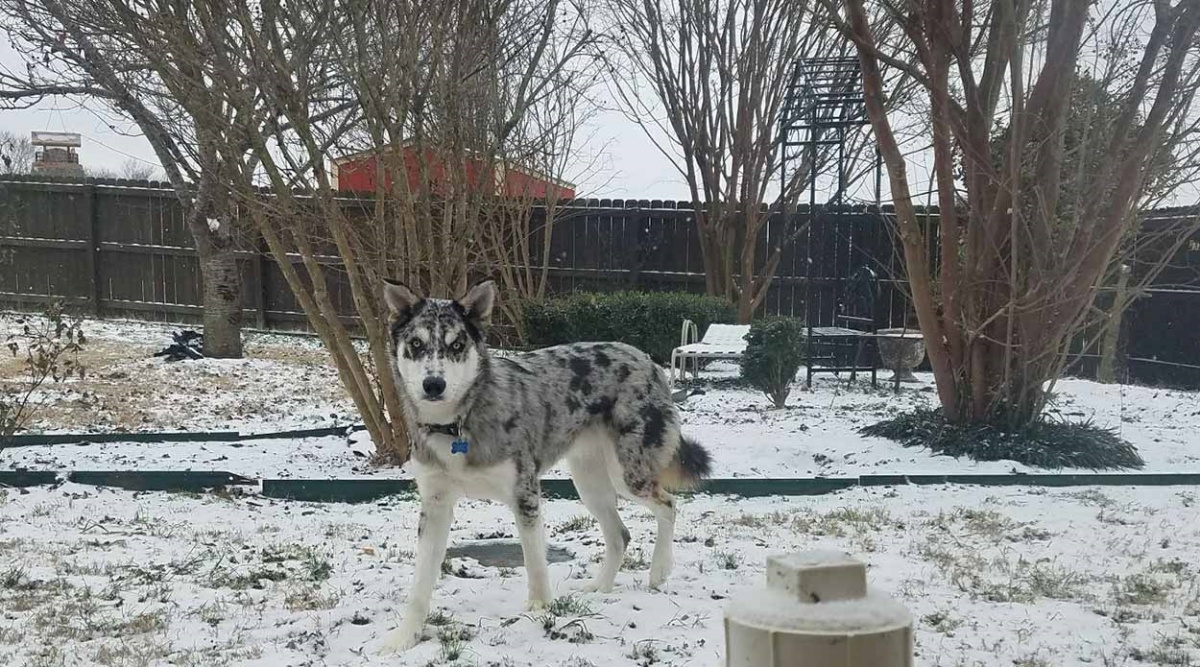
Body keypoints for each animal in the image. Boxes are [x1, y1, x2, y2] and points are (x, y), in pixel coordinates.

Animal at [379, 278, 705, 647]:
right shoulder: (435, 505)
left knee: (668, 504)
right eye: (416, 344)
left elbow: (534, 561)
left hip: (628, 474)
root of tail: (646, 359)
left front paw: (539, 609)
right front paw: (403, 638)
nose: (434, 384)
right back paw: (600, 587)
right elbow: (420, 583)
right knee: (620, 535)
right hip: (589, 482)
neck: (457, 424)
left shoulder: (525, 493)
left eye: (457, 344)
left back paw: (659, 570)